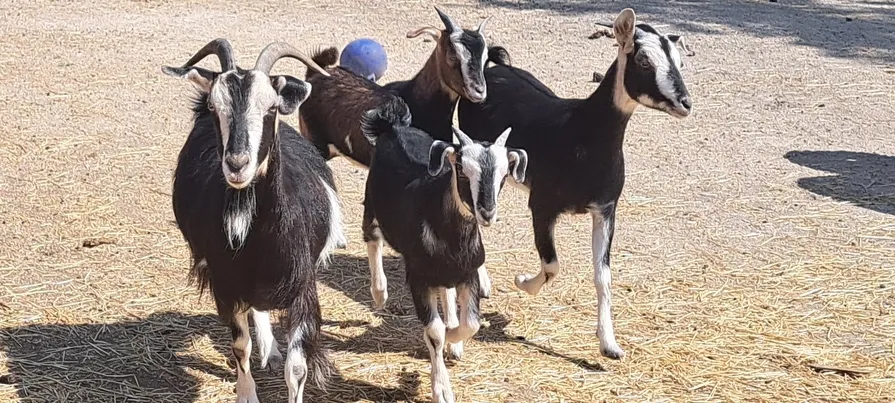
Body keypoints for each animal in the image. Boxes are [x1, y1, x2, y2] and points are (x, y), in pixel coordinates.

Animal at [163, 39, 346, 403]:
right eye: (216, 107)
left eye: (271, 108)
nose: (237, 164)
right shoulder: (225, 285)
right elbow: (240, 347)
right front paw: (246, 392)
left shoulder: (303, 287)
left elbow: (297, 368)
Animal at [361, 98, 527, 403]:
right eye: (462, 170)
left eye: (503, 176)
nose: (487, 213)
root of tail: (393, 126)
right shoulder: (418, 278)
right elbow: (435, 332)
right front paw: (442, 389)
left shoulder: (468, 274)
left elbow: (471, 323)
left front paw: (454, 339)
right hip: (372, 204)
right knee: (372, 238)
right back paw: (379, 293)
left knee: (446, 291)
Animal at [456, 9, 693, 360]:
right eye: (643, 60)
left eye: (679, 60)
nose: (685, 102)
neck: (580, 132)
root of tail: (491, 68)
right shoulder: (542, 205)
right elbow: (552, 263)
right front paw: (522, 281)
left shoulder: (606, 210)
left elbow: (603, 276)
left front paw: (609, 345)